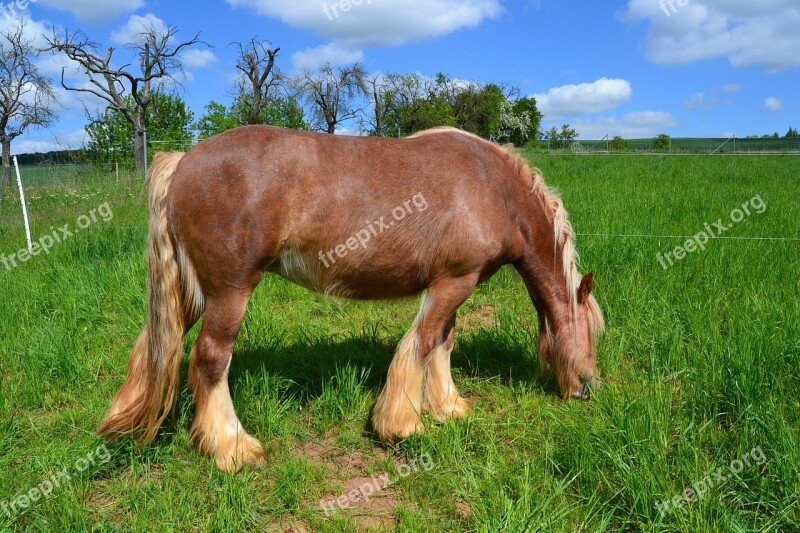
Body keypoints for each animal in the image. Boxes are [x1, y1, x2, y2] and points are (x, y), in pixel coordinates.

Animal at [97, 124, 604, 470]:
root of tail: (184, 160)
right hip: (229, 293)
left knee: (156, 346)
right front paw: (404, 424)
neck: (494, 189)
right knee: (209, 360)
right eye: (595, 333)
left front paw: (448, 407)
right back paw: (233, 447)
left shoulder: (456, 282)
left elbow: (442, 343)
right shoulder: (454, 282)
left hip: (191, 292)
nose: (589, 387)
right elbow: (421, 345)